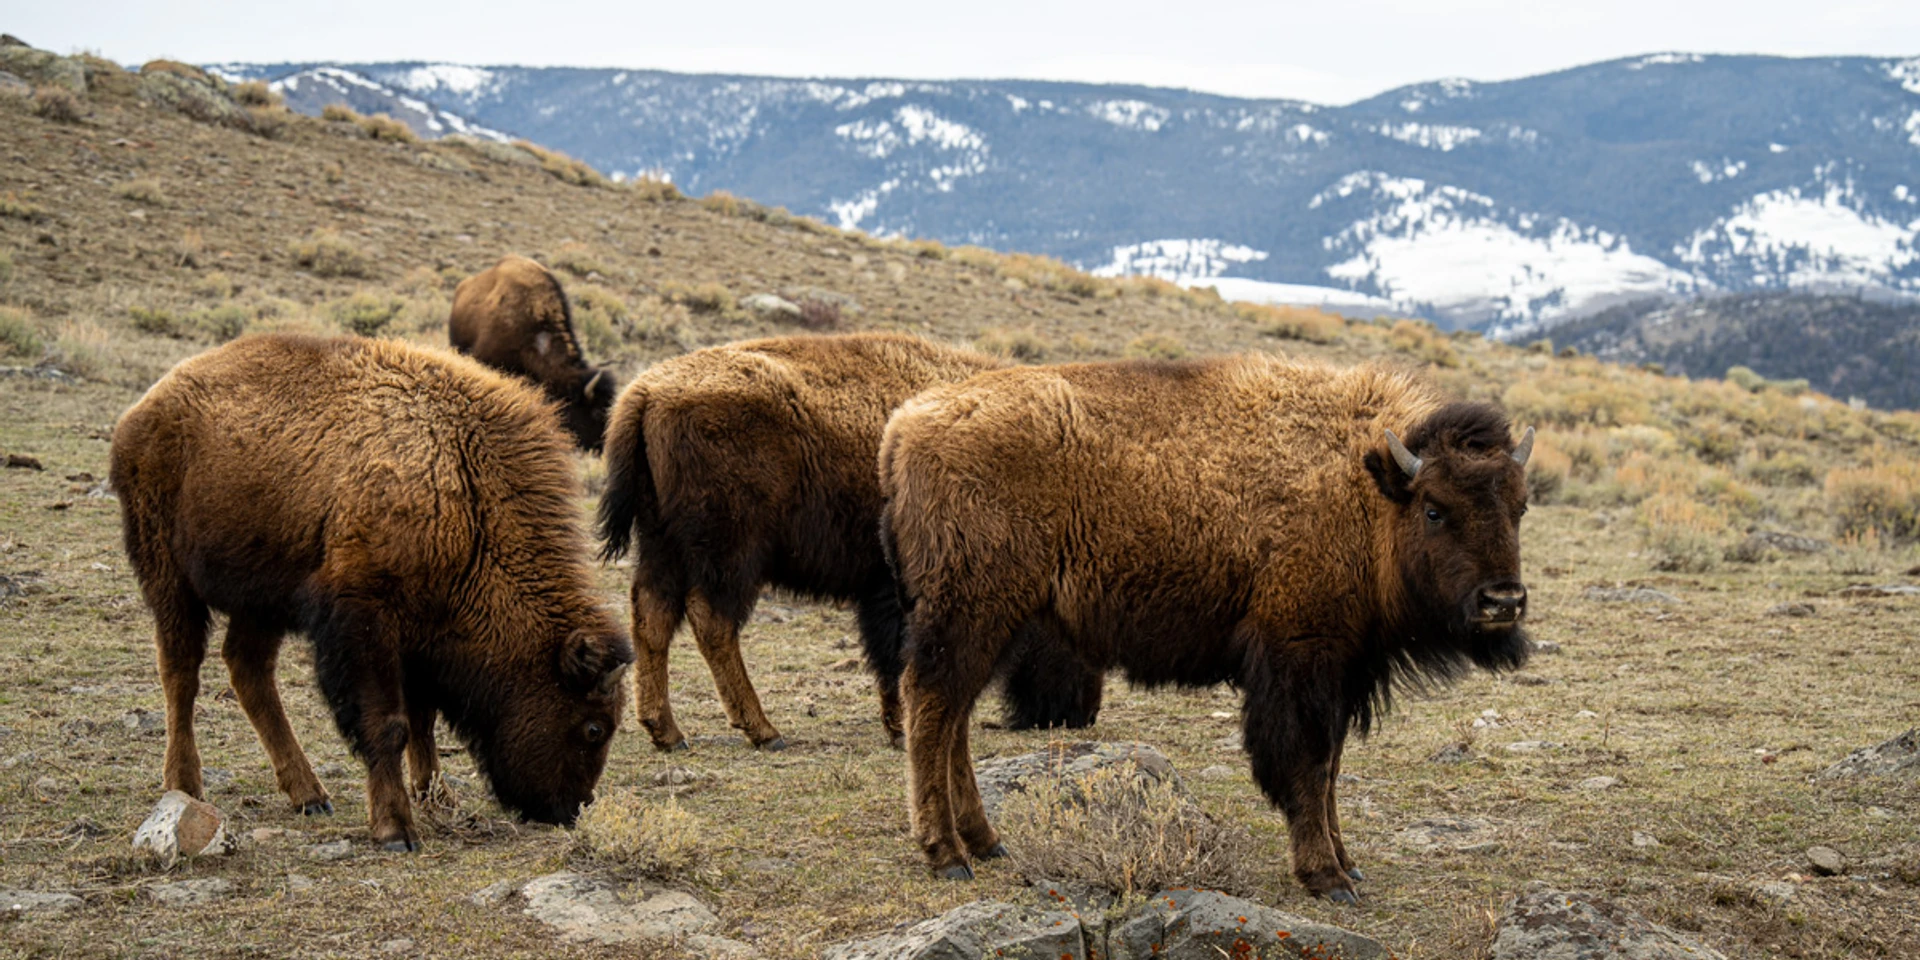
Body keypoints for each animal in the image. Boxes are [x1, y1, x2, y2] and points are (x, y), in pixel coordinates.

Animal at [112, 334, 634, 850]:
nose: (571, 810)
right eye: (594, 727)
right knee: (181, 671)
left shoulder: (420, 635)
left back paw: (310, 795)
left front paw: (436, 797)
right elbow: (389, 724)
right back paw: (185, 783)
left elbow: (422, 719)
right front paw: (395, 829)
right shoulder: (367, 624)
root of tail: (142, 410)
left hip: (261, 598)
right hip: (169, 577)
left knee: (248, 669)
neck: (465, 488)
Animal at [597, 332, 1103, 752]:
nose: (1081, 712)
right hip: (730, 552)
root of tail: (644, 393)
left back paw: (667, 732)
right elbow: (900, 652)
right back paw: (764, 731)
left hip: (663, 545)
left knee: (652, 614)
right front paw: (903, 729)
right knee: (711, 620)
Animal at [878, 355, 1534, 901]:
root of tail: (904, 426)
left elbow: (1331, 769)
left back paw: (985, 843)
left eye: (1520, 507)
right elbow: (1308, 766)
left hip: (993, 622)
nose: (1503, 600)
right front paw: (1326, 876)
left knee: (954, 718)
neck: (1364, 487)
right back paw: (947, 856)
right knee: (932, 709)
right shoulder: (1301, 659)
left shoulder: (1341, 670)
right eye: (1435, 509)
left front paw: (1348, 864)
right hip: (970, 613)